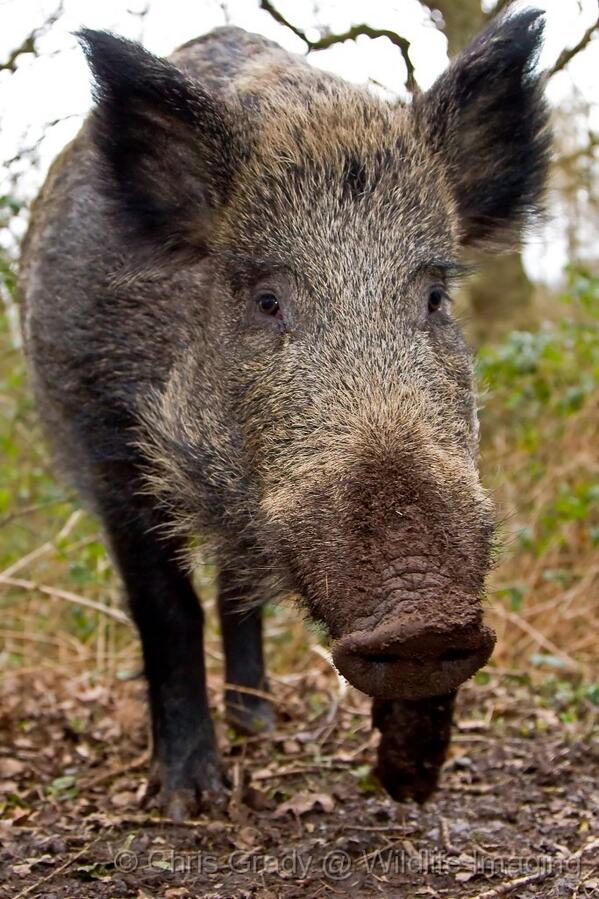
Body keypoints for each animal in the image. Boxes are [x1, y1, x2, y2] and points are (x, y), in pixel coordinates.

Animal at [19, 11, 550, 819]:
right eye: (267, 301)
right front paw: (189, 801)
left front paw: (410, 785)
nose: (423, 619)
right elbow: (167, 609)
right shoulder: (106, 439)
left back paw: (260, 723)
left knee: (239, 591)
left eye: (433, 298)